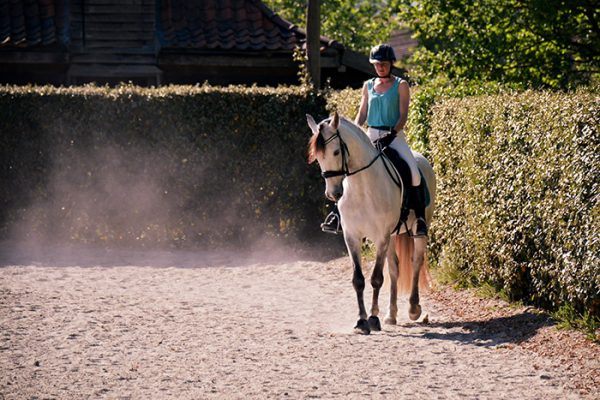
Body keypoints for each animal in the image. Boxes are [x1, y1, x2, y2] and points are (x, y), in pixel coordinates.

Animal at [310, 111, 436, 332]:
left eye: (336, 152)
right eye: (318, 157)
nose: (333, 194)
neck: (361, 187)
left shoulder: (381, 236)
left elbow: (376, 279)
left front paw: (373, 318)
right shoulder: (352, 236)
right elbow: (358, 280)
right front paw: (362, 320)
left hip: (417, 228)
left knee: (416, 261)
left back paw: (413, 309)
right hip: (393, 235)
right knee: (395, 268)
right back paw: (391, 315)